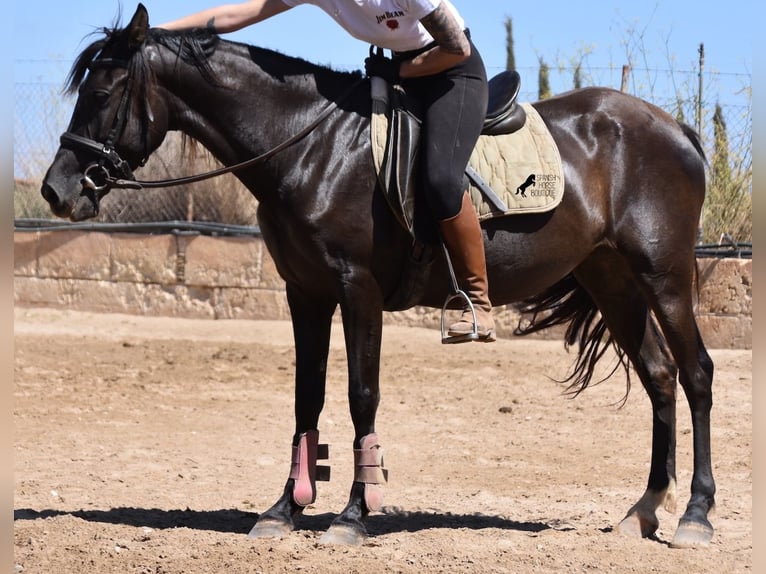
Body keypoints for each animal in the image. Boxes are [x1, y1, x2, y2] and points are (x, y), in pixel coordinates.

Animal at [42, 5, 716, 552]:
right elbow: (306, 396)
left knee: (696, 375)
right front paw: (284, 510)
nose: (57, 190)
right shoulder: (305, 293)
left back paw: (695, 517)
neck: (312, 150)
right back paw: (642, 512)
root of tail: (674, 128)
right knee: (659, 376)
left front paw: (353, 516)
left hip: (663, 276)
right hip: (612, 279)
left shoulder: (356, 289)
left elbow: (360, 395)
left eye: (103, 91)